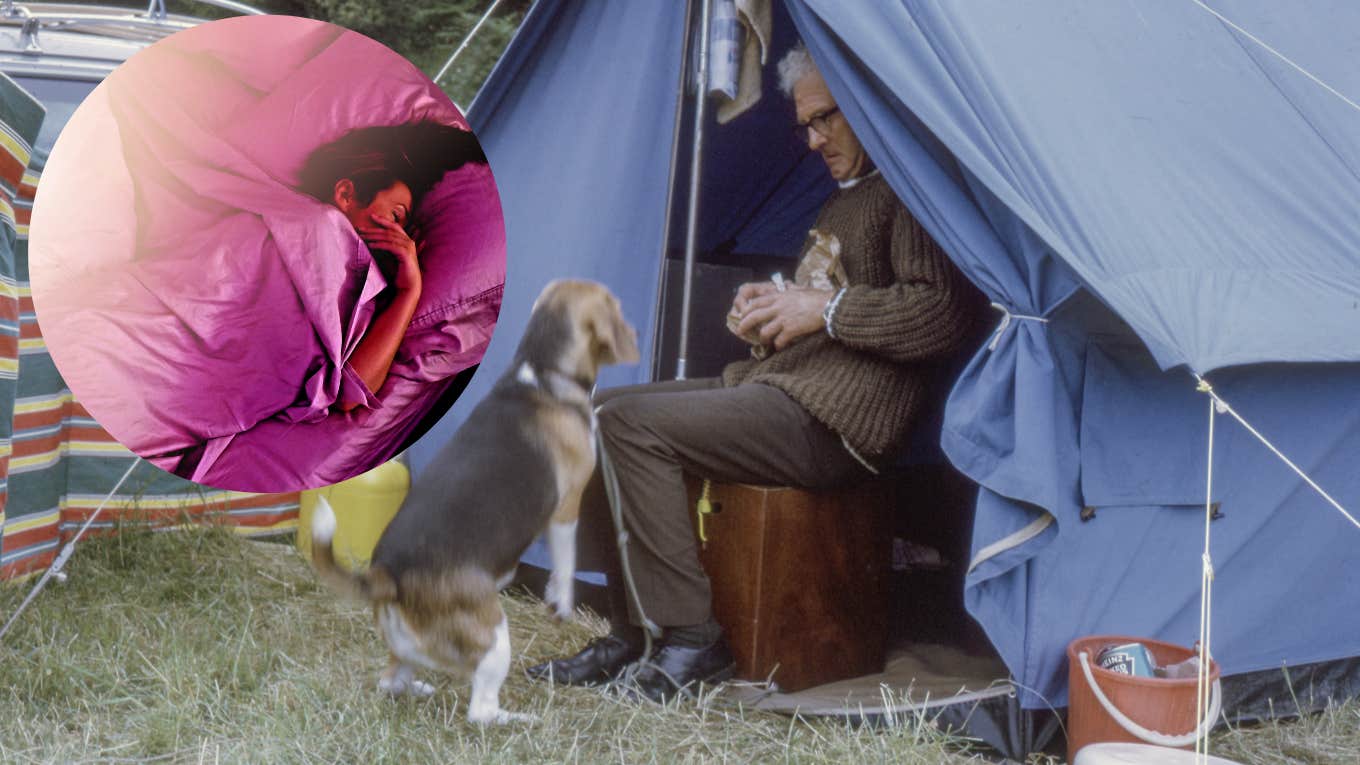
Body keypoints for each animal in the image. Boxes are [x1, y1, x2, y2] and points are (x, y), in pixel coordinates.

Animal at [311, 279, 639, 718]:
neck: (541, 372)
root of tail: (389, 574)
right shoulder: (566, 506)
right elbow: (566, 561)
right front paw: (562, 602)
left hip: (405, 646)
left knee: (391, 680)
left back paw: (414, 688)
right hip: (495, 638)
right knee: (480, 711)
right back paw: (517, 719)